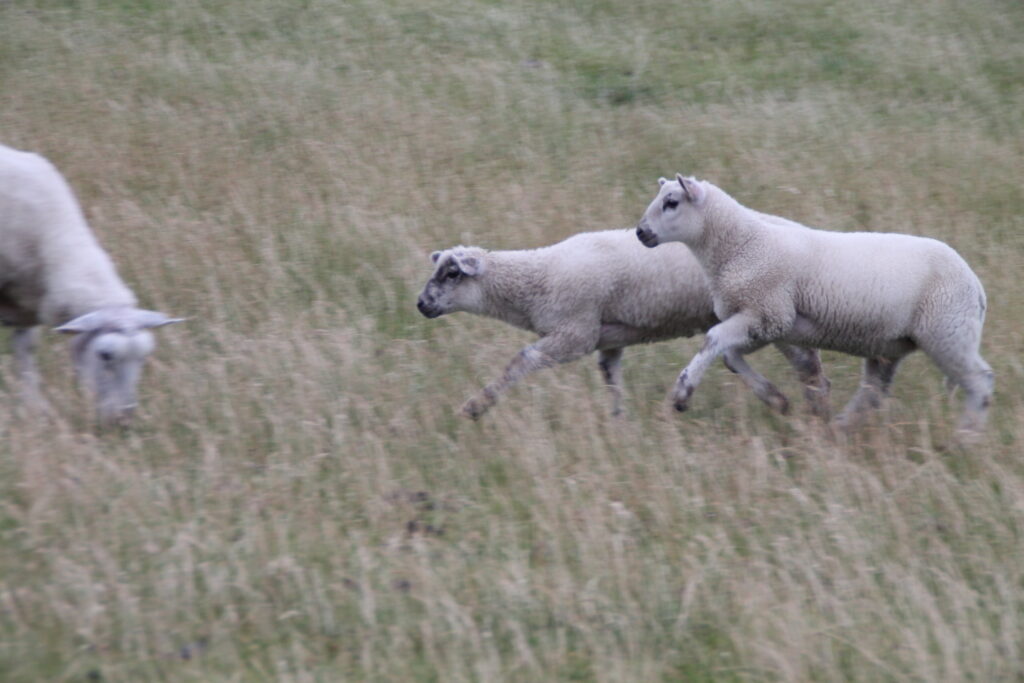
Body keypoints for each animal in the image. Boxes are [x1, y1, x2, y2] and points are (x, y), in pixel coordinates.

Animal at [0, 143, 183, 425]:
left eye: (144, 356)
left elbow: (25, 353)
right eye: (104, 355)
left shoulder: (26, 308)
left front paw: (32, 408)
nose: (123, 419)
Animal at [416, 229, 831, 420]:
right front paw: (619, 425)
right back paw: (789, 402)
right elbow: (611, 379)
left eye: (452, 273)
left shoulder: (574, 334)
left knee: (805, 362)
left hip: (763, 307)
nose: (420, 305)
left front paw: (476, 406)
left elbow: (521, 360)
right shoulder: (606, 340)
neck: (536, 279)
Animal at [635, 174, 993, 434]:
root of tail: (976, 286)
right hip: (892, 344)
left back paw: (965, 438)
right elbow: (730, 356)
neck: (743, 245)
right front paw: (776, 399)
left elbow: (713, 340)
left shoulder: (767, 312)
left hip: (948, 331)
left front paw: (682, 394)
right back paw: (838, 429)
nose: (640, 232)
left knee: (980, 381)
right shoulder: (767, 323)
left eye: (671, 202)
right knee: (874, 392)